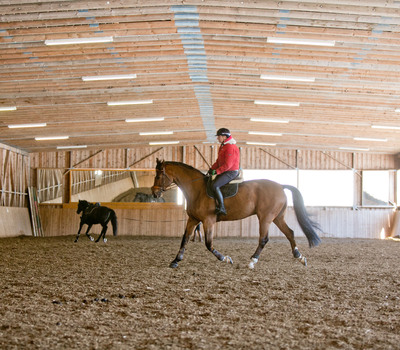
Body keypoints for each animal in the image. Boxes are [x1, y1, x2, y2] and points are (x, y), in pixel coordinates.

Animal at [151, 160, 322, 270]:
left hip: (265, 218)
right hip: (277, 217)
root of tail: (280, 186)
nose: (154, 193)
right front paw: (175, 261)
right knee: (290, 233)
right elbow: (184, 239)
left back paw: (252, 261)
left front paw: (225, 259)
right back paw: (299, 257)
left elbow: (208, 244)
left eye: (158, 176)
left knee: (264, 239)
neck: (197, 189)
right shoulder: (193, 220)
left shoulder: (208, 221)